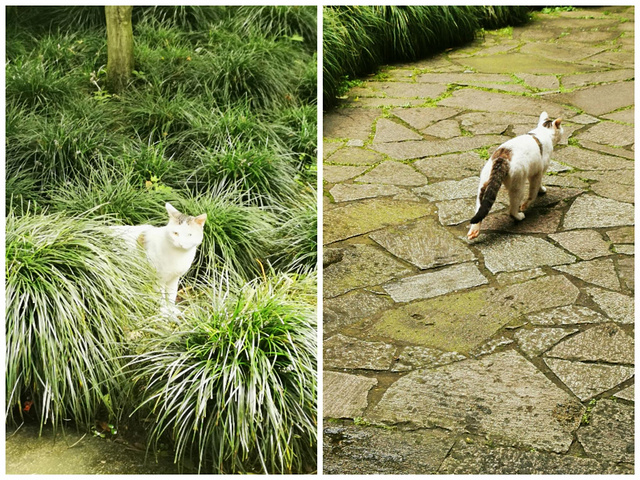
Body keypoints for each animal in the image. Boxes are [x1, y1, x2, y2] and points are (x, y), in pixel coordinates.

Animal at [464, 112, 564, 240]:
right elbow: (533, 192)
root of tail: (501, 159)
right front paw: (533, 198)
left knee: (479, 209)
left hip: (483, 185)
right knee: (512, 209)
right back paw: (519, 216)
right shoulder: (537, 173)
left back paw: (474, 231)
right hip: (518, 185)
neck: (542, 132)